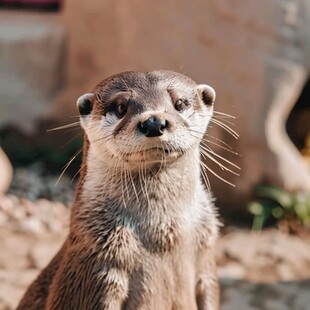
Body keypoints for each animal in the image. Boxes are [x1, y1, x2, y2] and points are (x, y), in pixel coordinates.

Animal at [17, 71, 220, 310]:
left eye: (179, 103)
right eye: (121, 107)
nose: (154, 122)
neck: (162, 234)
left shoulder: (207, 251)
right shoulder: (95, 263)